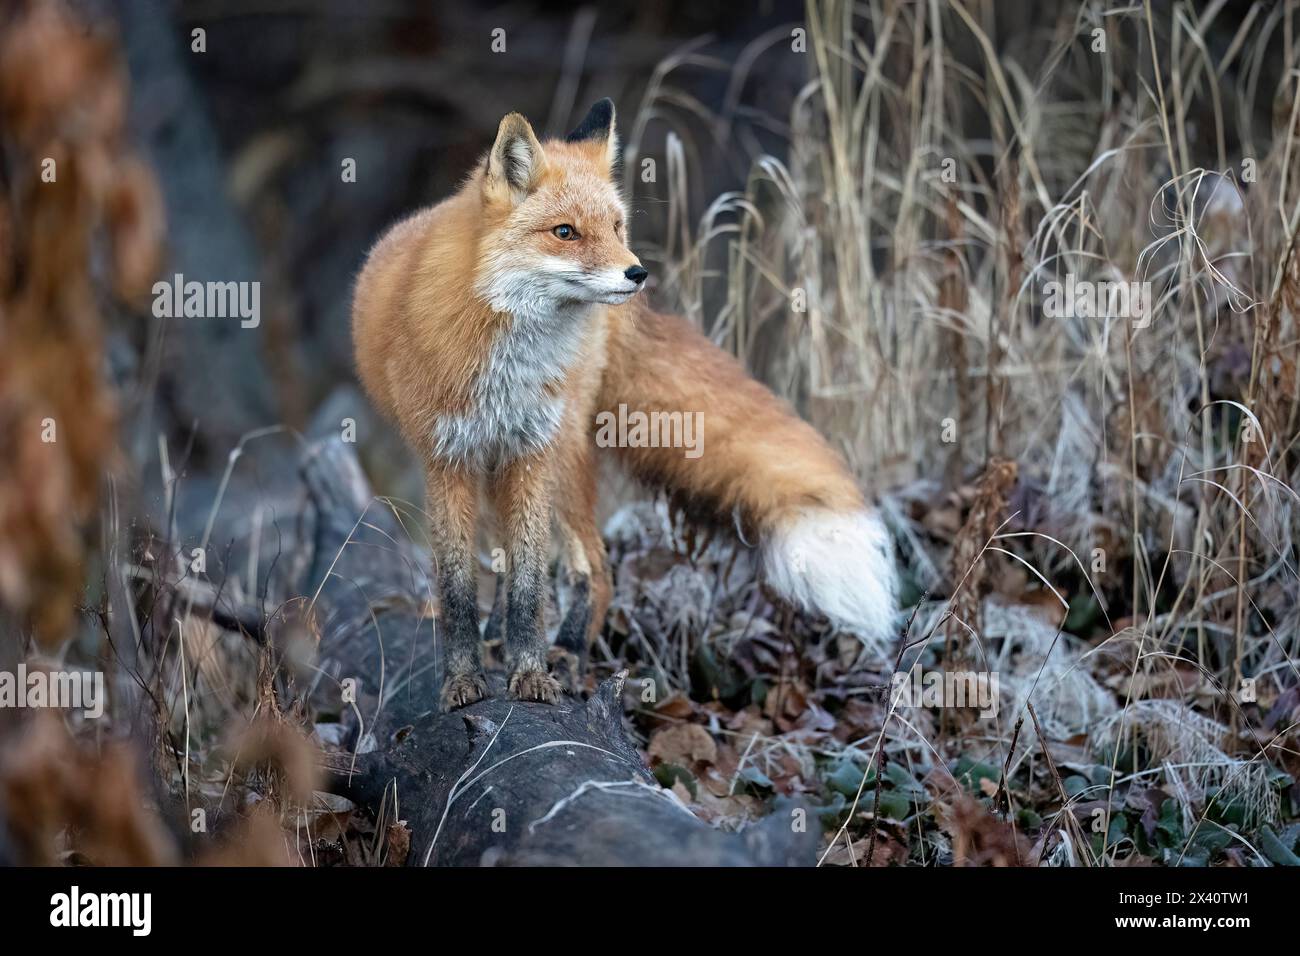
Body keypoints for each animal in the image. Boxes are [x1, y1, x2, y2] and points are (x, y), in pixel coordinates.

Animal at [351, 99, 898, 710]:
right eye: (565, 233)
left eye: (615, 227)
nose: (637, 272)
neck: (505, 360)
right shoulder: (448, 460)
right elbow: (459, 586)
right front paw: (464, 679)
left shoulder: (533, 452)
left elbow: (529, 583)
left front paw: (531, 672)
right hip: (500, 467)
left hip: (562, 454)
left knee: (594, 567)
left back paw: (567, 654)